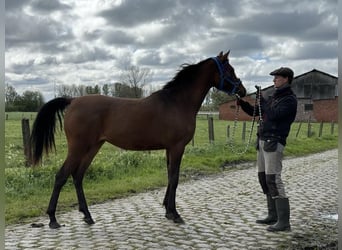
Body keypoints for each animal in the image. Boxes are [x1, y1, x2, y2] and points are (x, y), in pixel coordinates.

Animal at [30, 50, 246, 229]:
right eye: (229, 69)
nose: (242, 90)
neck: (177, 103)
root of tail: (73, 100)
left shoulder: (169, 149)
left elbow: (169, 176)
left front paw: (168, 211)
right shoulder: (177, 147)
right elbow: (175, 178)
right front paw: (175, 214)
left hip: (93, 147)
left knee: (78, 176)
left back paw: (87, 216)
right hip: (78, 147)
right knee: (61, 176)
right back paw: (53, 219)